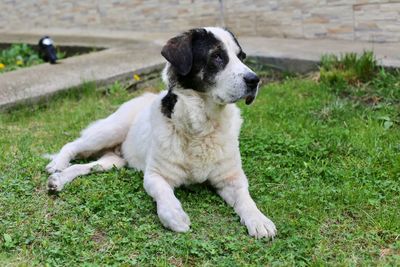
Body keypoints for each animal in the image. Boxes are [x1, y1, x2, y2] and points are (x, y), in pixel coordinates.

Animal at [44, 27, 276, 240]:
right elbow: (164, 194)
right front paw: (175, 216)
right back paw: (57, 165)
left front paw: (259, 220)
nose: (255, 80)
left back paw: (59, 180)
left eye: (241, 57)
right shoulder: (155, 175)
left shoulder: (232, 177)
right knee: (72, 145)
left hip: (114, 161)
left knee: (88, 166)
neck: (201, 127)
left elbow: (246, 199)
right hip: (110, 130)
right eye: (217, 56)